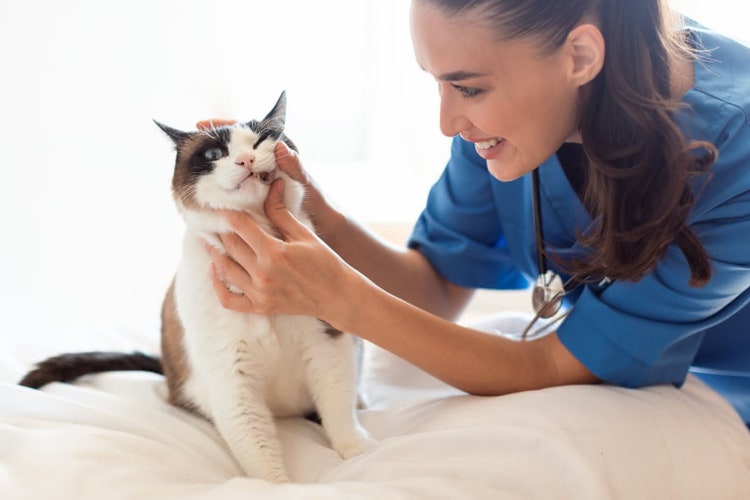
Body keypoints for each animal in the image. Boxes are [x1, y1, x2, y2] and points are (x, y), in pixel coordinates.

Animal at [19, 92, 376, 482]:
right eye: (214, 154)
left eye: (262, 140)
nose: (246, 159)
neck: (258, 241)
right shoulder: (230, 373)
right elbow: (258, 450)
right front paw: (279, 486)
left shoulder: (326, 344)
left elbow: (337, 408)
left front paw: (359, 453)